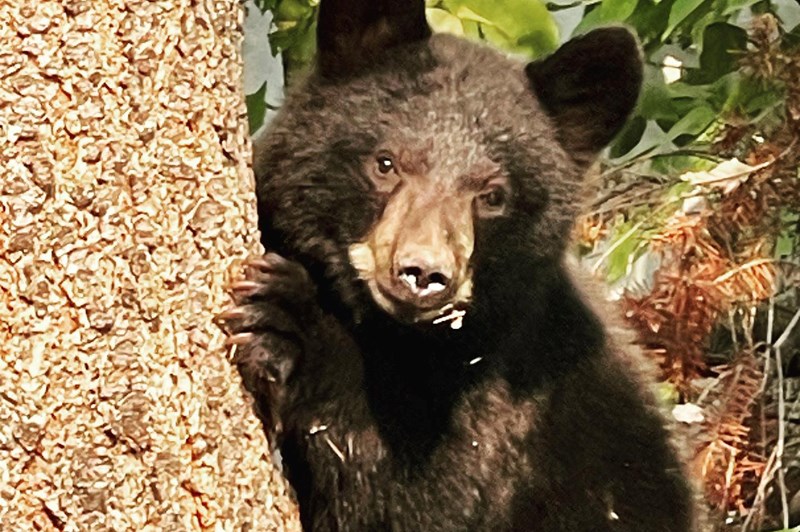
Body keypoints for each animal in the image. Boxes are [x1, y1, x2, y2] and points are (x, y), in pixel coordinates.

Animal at [223, 0, 696, 530]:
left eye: (492, 196)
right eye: (386, 162)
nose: (423, 274)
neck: (395, 337)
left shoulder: (504, 398)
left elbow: (417, 496)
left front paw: (291, 324)